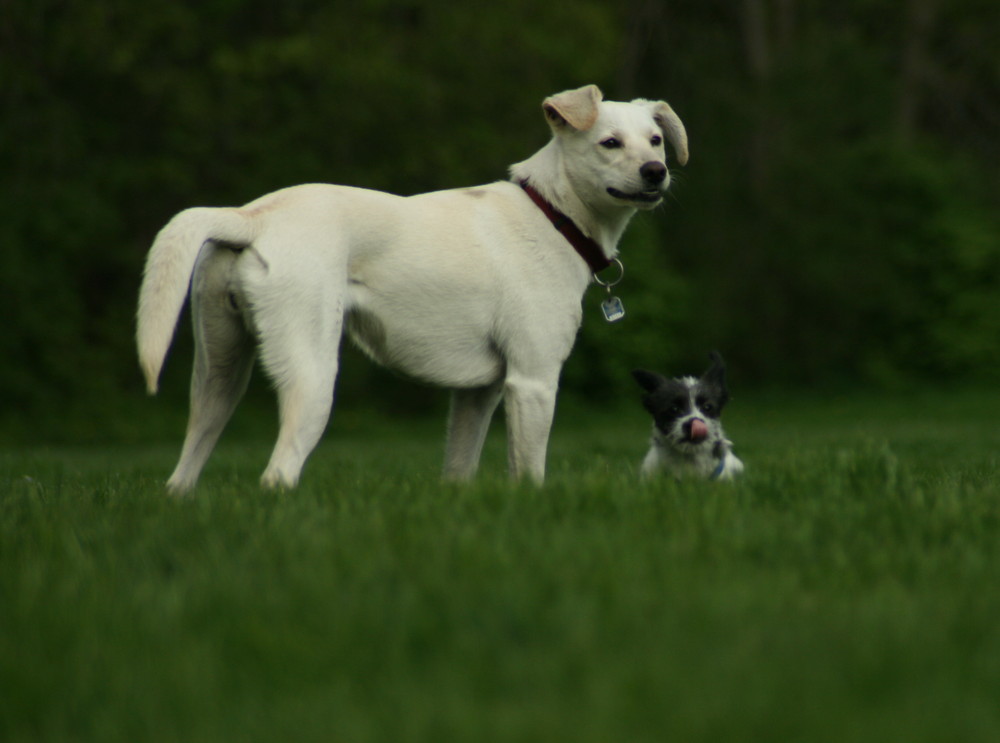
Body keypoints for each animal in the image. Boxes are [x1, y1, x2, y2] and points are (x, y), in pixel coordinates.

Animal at [137, 84, 688, 494]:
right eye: (609, 143)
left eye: (655, 140)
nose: (656, 172)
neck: (553, 213)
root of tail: (250, 217)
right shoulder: (532, 382)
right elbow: (529, 472)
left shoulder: (478, 394)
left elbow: (459, 468)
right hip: (313, 377)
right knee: (278, 474)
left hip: (218, 378)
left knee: (184, 472)